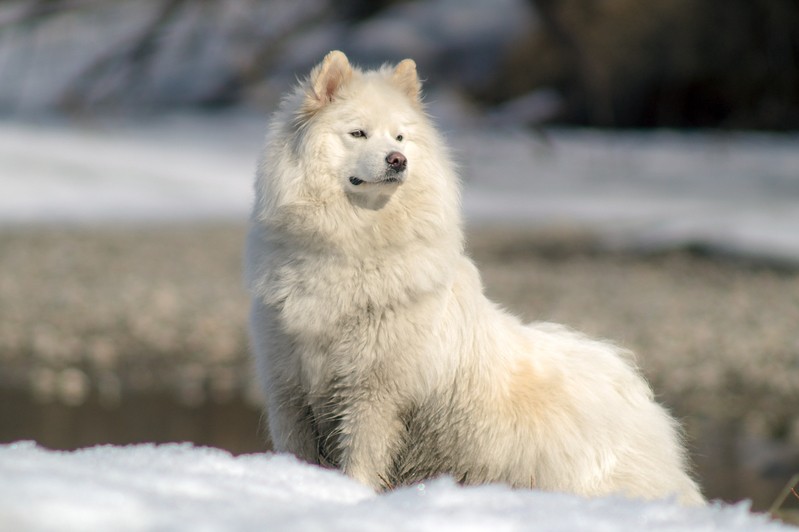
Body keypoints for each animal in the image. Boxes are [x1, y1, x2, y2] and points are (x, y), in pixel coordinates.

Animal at [247, 52, 704, 504]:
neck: (351, 247)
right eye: (357, 133)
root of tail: (643, 398)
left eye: (399, 138)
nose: (398, 161)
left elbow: (361, 462)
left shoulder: (372, 396)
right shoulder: (289, 390)